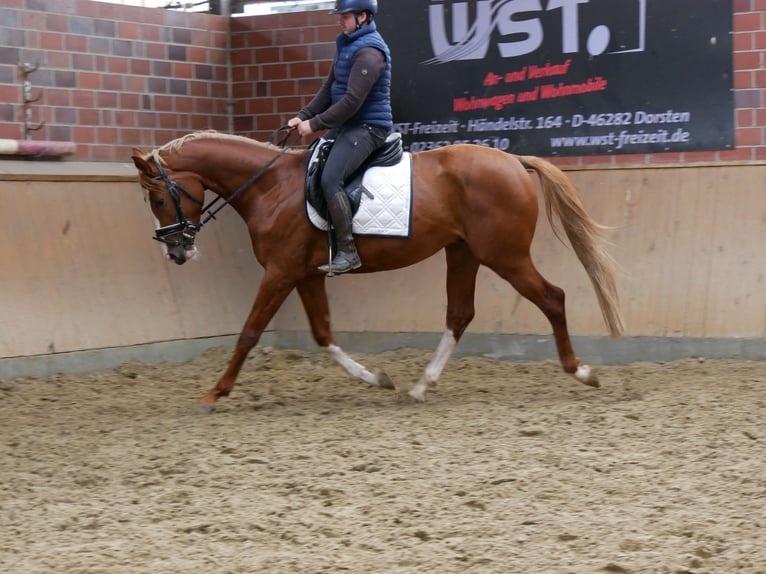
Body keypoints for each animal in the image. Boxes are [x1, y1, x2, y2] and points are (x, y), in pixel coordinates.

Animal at [132, 133, 624, 412]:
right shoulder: (306, 275)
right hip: (464, 253)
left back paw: (581, 372)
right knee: (460, 314)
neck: (270, 188)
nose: (177, 252)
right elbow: (323, 335)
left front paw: (215, 393)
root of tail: (513, 162)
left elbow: (249, 333)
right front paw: (377, 379)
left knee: (552, 298)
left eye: (157, 199)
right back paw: (421, 387)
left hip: (505, 256)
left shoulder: (279, 272)